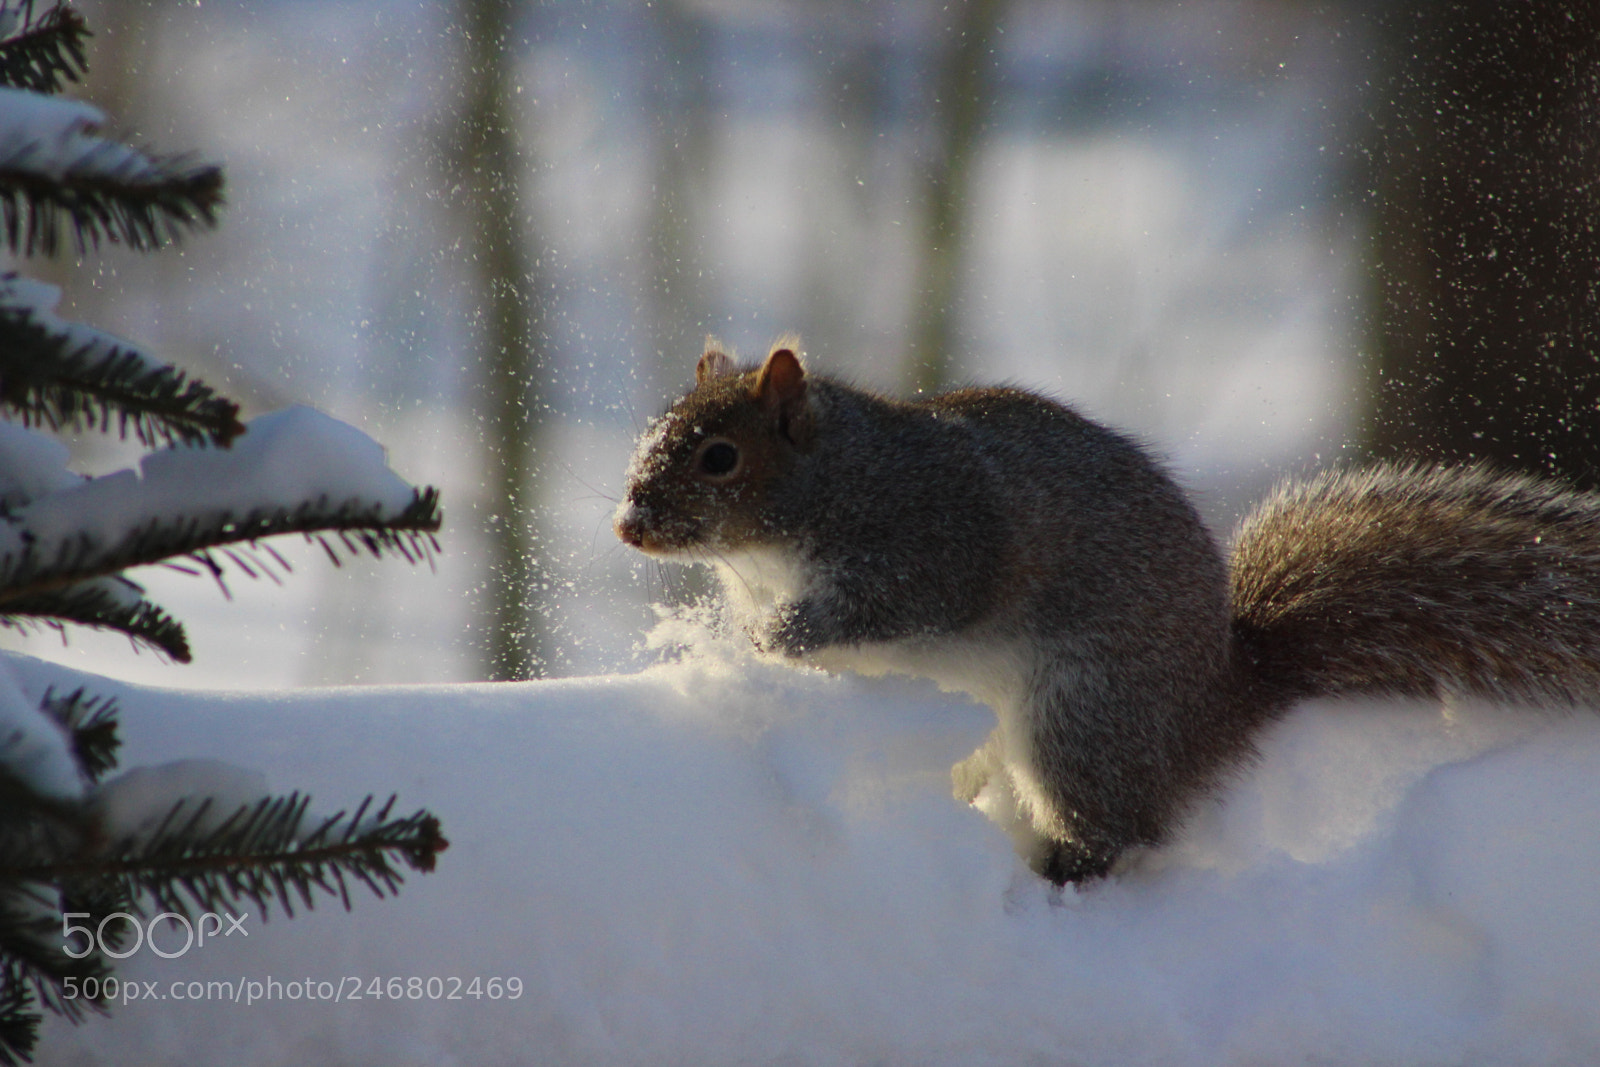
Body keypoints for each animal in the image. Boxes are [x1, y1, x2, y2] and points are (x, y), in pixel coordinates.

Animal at [614, 338, 1600, 885]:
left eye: (718, 457)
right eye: (654, 433)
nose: (628, 525)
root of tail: (1220, 698)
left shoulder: (939, 539)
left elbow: (894, 600)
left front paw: (777, 634)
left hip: (1081, 716)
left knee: (1116, 830)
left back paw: (1057, 868)